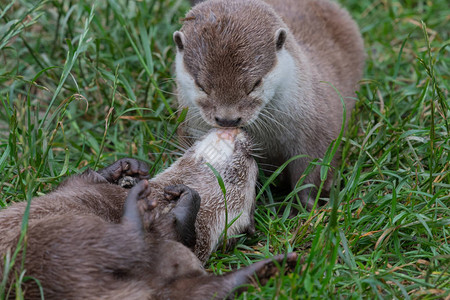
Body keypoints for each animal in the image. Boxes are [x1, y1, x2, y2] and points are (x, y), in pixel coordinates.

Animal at [0, 165, 298, 298]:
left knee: (198, 289)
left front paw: (125, 167)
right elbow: (79, 178)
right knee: (127, 240)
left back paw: (269, 269)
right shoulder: (78, 189)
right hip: (54, 241)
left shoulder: (81, 186)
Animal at [172, 0, 366, 209]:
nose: (227, 119)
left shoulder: (317, 131)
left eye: (255, 84)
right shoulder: (190, 127)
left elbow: (312, 172)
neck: (268, 141)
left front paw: (307, 207)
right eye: (201, 85)